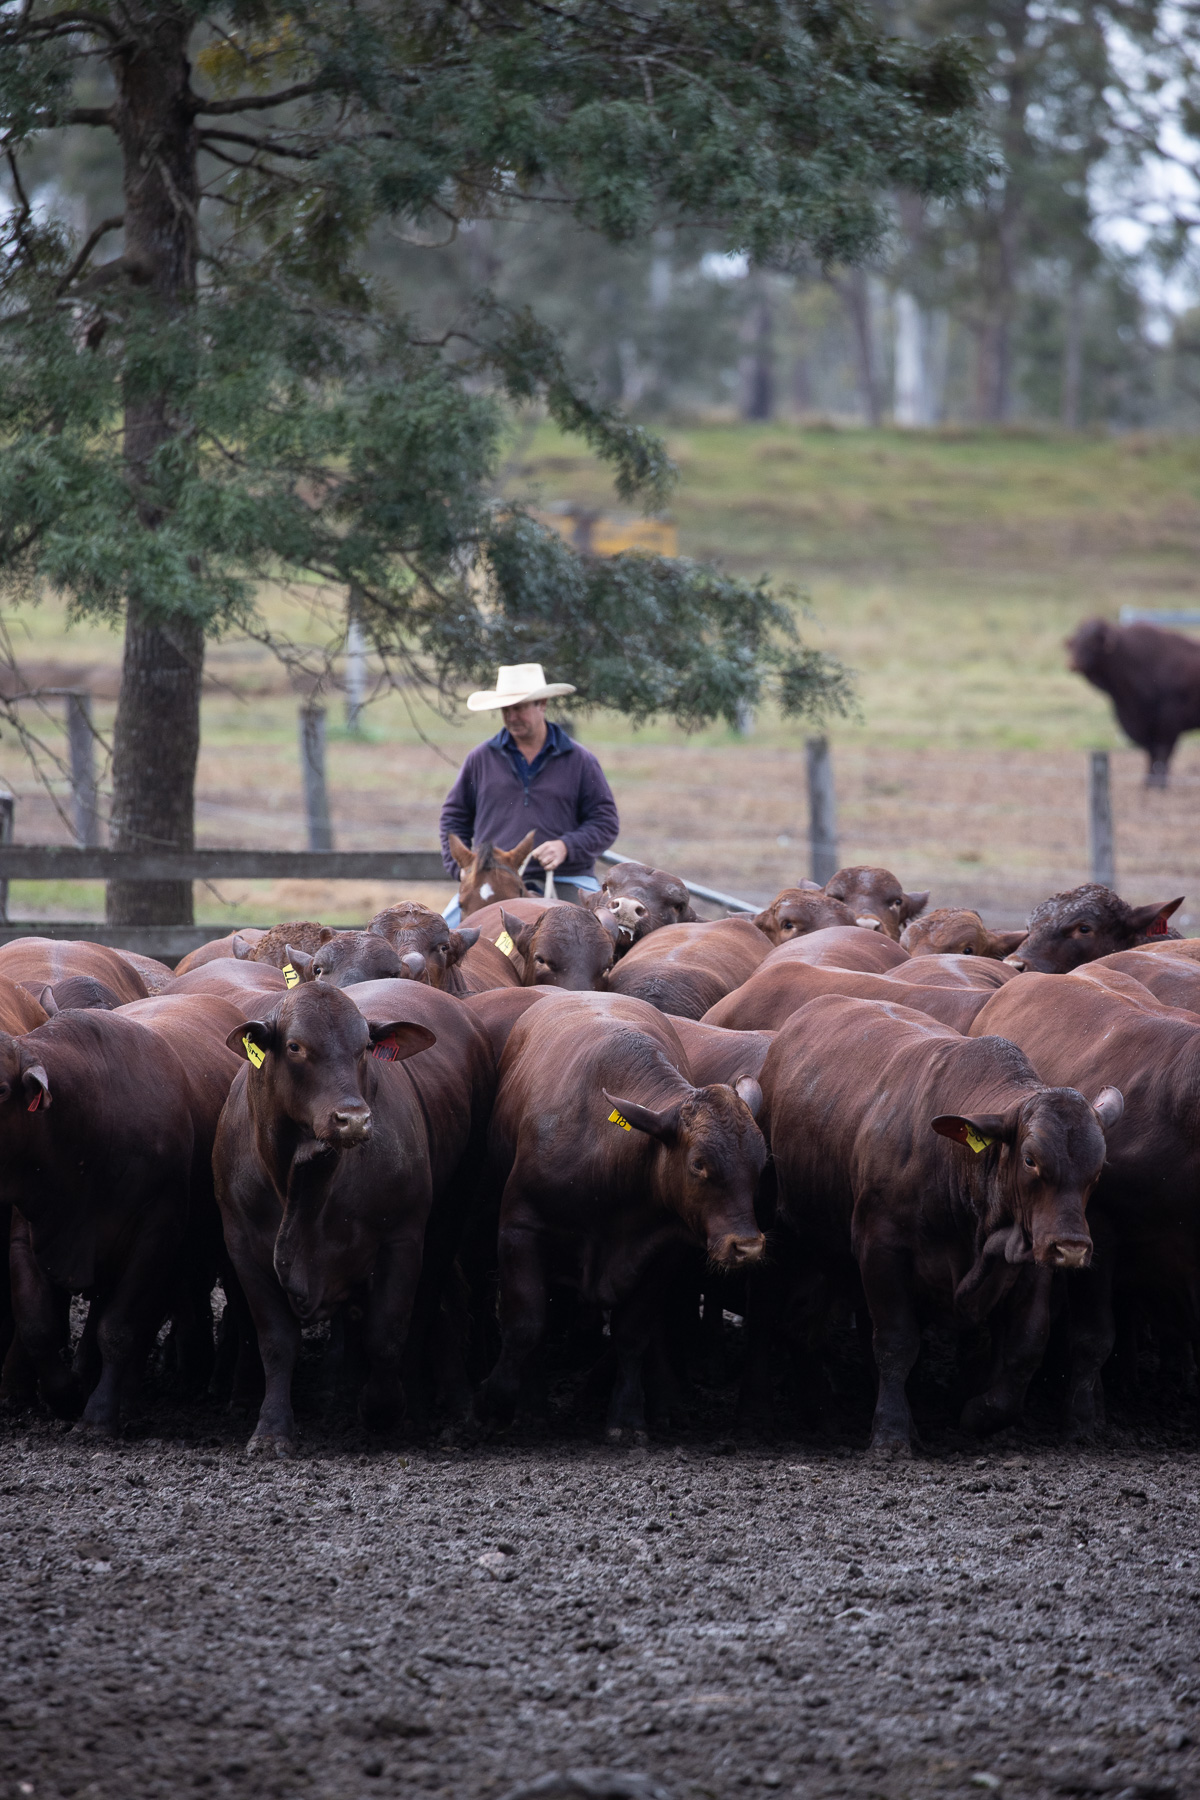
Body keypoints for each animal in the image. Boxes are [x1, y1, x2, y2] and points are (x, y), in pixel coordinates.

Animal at [214, 981, 492, 1454]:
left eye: (364, 1047)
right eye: (295, 1046)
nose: (354, 1120)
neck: (303, 1179)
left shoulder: (401, 1238)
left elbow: (387, 1333)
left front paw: (382, 1410)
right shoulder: (243, 1248)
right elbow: (276, 1342)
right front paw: (271, 1430)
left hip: (451, 1213)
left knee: (426, 1310)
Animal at [480, 993, 766, 1439]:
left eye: (761, 1162)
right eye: (698, 1164)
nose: (747, 1246)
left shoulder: (663, 1251)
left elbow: (634, 1332)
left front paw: (627, 1417)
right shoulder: (519, 1231)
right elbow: (525, 1325)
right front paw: (501, 1403)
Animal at [758, 994, 1121, 1454]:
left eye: (1098, 1167)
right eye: (1030, 1159)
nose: (1072, 1246)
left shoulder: (1031, 1255)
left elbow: (1026, 1347)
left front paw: (981, 1414)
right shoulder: (881, 1249)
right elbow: (896, 1342)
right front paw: (891, 1433)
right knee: (799, 1324)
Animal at [1067, 616, 1200, 787]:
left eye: (1092, 641)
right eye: (1076, 639)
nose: (1073, 663)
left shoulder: (1168, 722)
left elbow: (1162, 752)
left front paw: (1159, 784)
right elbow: (1150, 752)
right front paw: (1148, 782)